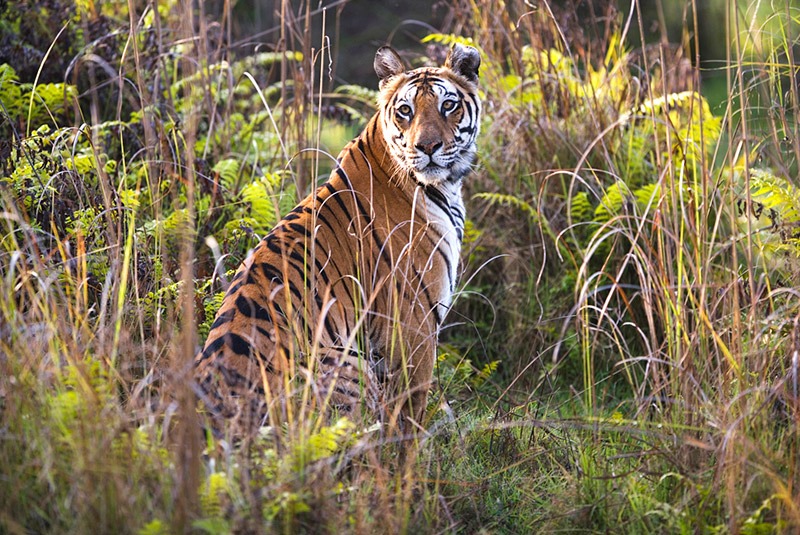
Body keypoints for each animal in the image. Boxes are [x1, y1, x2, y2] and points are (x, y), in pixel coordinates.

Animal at [195, 43, 482, 436]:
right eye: (405, 111)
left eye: (448, 105)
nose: (427, 147)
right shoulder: (413, 325)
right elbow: (409, 416)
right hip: (346, 363)